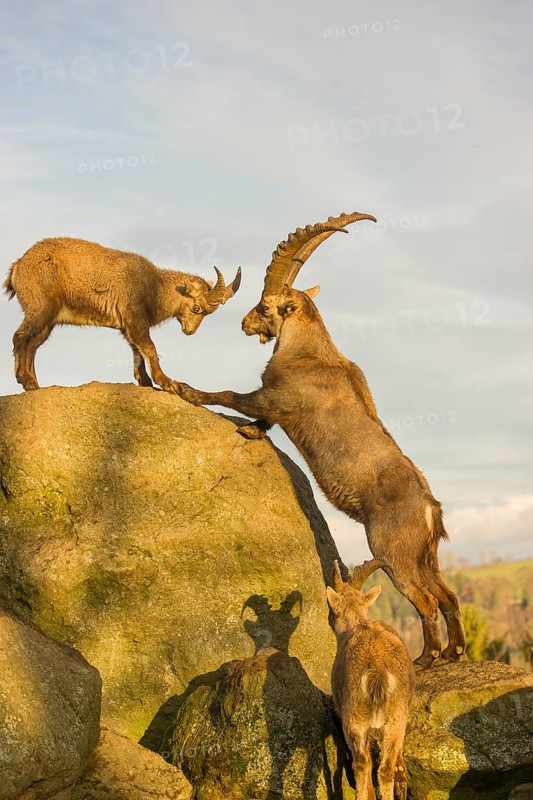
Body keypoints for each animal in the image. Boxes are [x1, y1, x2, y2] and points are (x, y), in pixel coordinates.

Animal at [3, 237, 241, 392]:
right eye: (197, 308)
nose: (190, 331)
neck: (155, 287)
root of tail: (17, 267)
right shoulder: (134, 316)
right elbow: (149, 347)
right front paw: (166, 382)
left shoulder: (128, 324)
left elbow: (137, 351)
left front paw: (144, 381)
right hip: (40, 308)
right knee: (20, 338)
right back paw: (25, 380)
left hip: (49, 320)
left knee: (32, 345)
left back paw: (33, 384)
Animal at [175, 212, 466, 668]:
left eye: (264, 306)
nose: (244, 323)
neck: (309, 352)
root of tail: (429, 509)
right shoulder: (277, 404)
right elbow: (260, 417)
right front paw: (252, 429)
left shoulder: (277, 397)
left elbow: (231, 395)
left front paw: (186, 390)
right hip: (427, 556)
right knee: (449, 595)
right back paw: (453, 651)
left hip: (394, 553)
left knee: (426, 601)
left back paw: (427, 657)